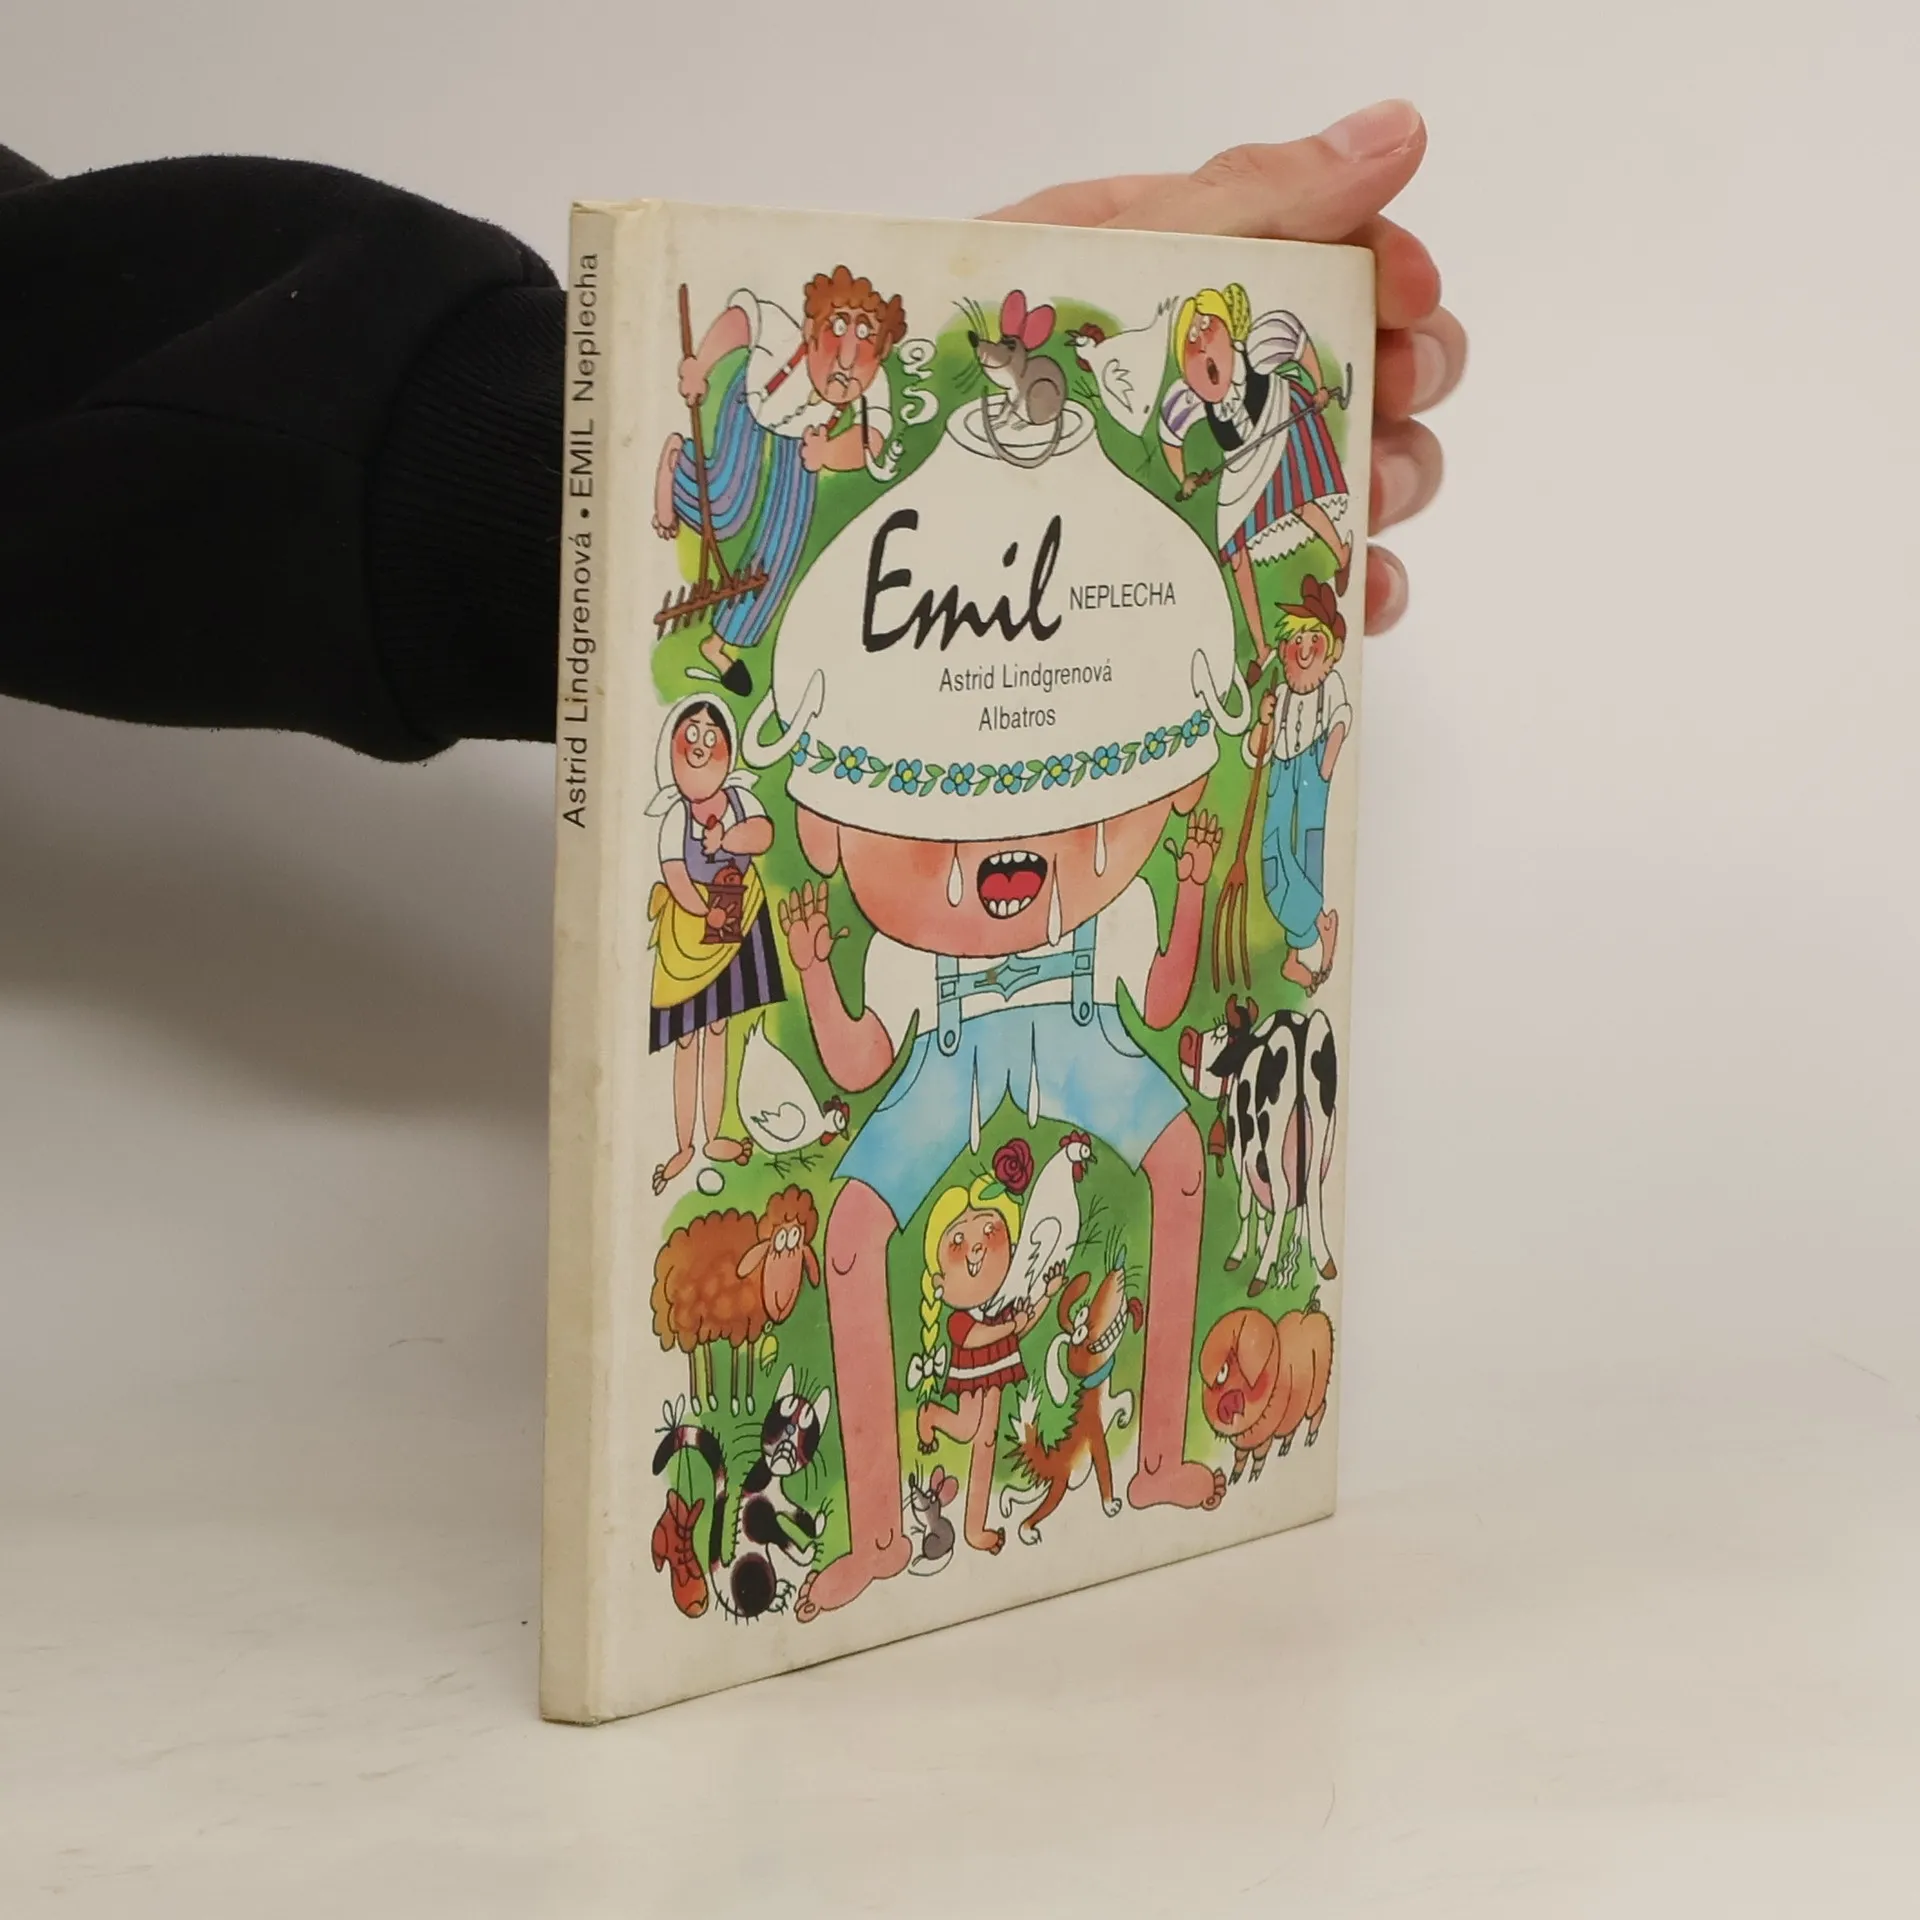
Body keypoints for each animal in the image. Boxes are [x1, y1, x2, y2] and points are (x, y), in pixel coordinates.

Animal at [651, 1368, 832, 1621]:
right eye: (783, 1414)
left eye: (808, 1424)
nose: (790, 1430)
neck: (769, 1481)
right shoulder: (761, 1520)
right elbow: (783, 1538)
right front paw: (807, 1553)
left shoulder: (783, 1503)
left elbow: (800, 1516)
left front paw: (819, 1523)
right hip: (756, 1569)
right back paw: (775, 1598)